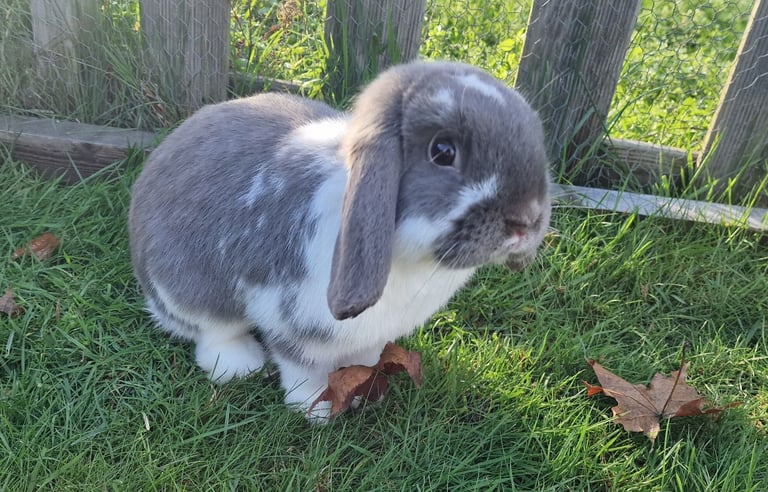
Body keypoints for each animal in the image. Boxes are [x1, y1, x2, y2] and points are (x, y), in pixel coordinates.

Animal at [128, 60, 551, 421]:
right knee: (212, 331)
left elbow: (364, 359)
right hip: (191, 292)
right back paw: (239, 365)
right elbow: (302, 367)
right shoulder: (291, 319)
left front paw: (365, 392)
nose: (526, 222)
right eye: (442, 151)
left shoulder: (371, 334)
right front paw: (314, 410)